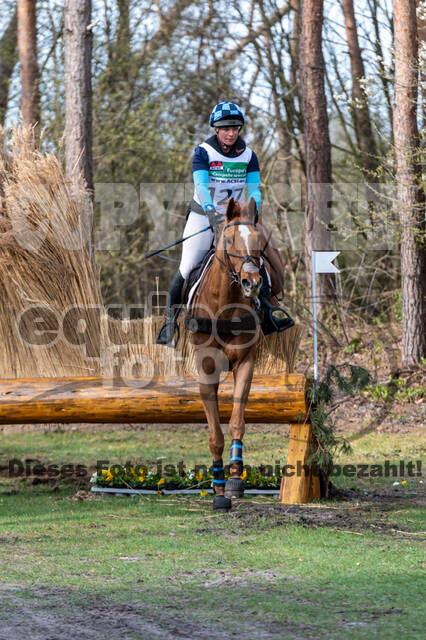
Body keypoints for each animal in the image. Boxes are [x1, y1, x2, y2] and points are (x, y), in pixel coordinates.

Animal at [184, 196, 286, 510]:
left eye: (258, 240)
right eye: (228, 240)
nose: (251, 282)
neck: (224, 305)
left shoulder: (245, 363)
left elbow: (237, 422)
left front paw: (234, 480)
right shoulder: (206, 368)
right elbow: (214, 433)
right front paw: (217, 488)